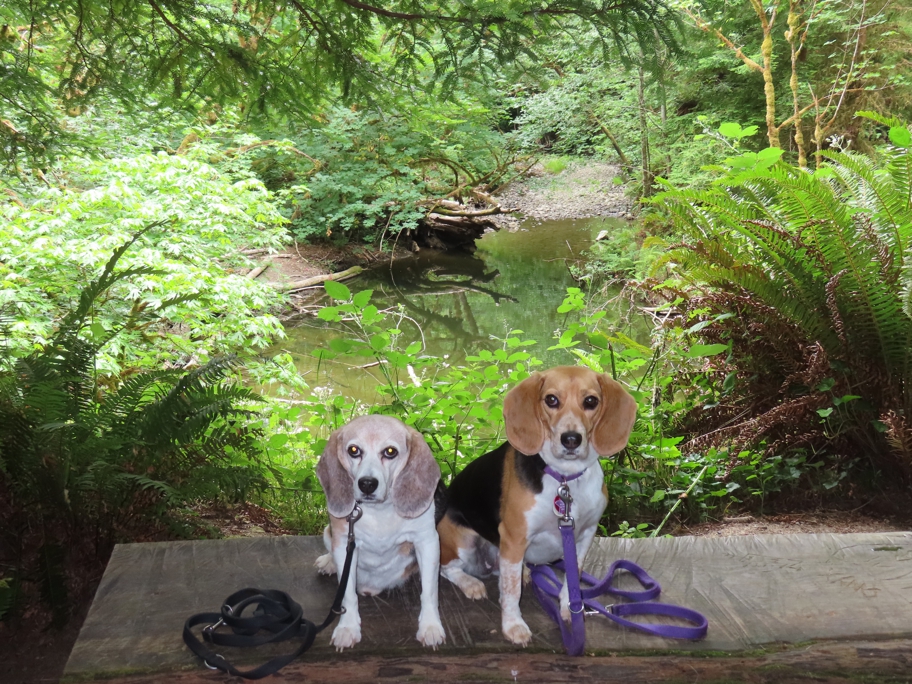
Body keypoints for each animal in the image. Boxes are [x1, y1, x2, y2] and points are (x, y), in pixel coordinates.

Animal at [316, 414, 448, 648]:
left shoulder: (428, 542)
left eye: (390, 451)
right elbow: (348, 594)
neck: (380, 511)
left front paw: (430, 626)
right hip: (327, 532)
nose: (367, 484)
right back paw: (328, 562)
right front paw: (347, 628)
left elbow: (430, 592)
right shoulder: (344, 543)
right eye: (353, 450)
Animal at [434, 366, 636, 644]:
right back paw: (471, 583)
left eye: (590, 401)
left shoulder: (584, 535)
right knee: (447, 568)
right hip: (461, 540)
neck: (564, 478)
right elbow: (511, 592)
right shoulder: (514, 537)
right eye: (551, 399)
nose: (571, 439)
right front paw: (513, 626)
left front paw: (570, 609)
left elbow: (571, 580)